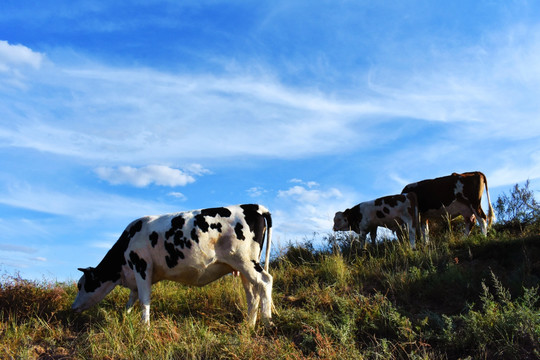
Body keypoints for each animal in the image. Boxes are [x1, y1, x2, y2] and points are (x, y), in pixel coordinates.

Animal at [71, 204, 272, 328]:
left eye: (81, 285)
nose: (73, 308)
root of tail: (252, 206)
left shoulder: (142, 266)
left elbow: (144, 299)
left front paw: (145, 327)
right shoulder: (135, 277)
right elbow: (131, 300)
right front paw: (125, 318)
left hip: (245, 260)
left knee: (265, 281)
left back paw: (268, 322)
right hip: (241, 267)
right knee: (252, 294)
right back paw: (248, 325)